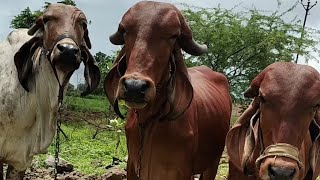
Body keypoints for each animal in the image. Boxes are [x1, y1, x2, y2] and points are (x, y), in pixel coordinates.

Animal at [104, 1, 231, 180]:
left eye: (173, 36)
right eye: (125, 30)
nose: (134, 86)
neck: (149, 119)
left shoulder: (183, 171)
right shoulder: (132, 166)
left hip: (213, 162)